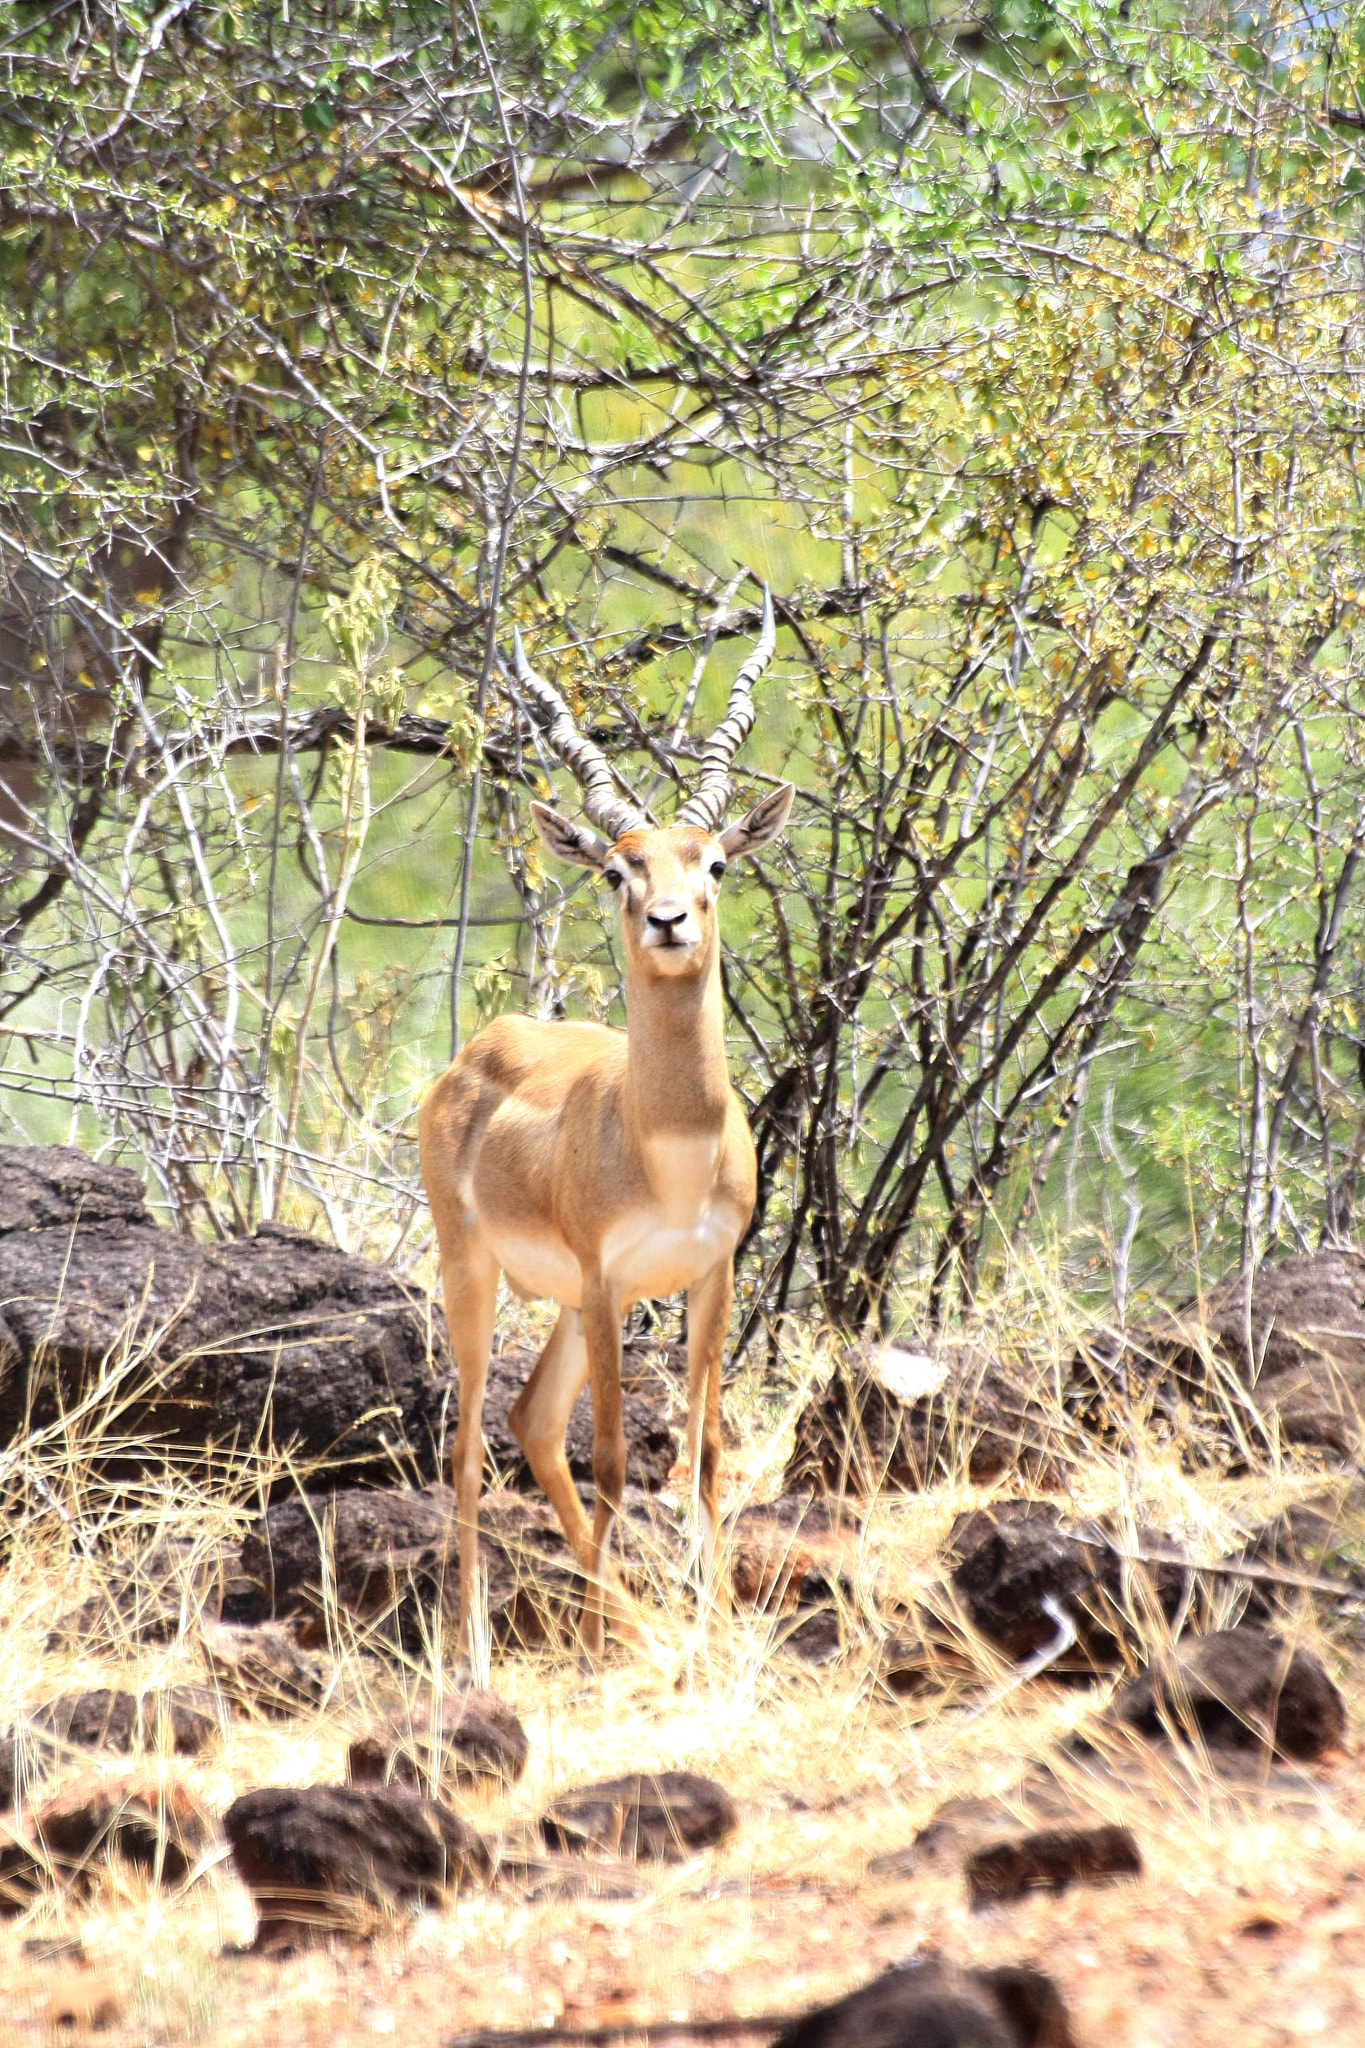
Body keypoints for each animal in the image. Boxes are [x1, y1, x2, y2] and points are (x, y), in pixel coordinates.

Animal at [421, 598, 794, 1654]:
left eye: (715, 863)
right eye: (618, 871)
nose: (670, 920)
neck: (667, 1147)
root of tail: (482, 1049)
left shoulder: (710, 1275)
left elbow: (704, 1456)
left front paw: (711, 1634)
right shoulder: (603, 1282)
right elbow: (624, 1460)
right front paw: (602, 1652)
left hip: (564, 1305)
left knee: (533, 1421)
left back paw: (628, 1624)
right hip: (477, 1275)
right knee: (469, 1446)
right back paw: (478, 1650)